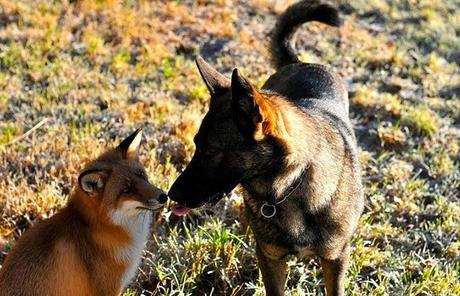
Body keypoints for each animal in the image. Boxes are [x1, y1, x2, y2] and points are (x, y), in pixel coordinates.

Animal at [169, 1, 362, 294]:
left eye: (210, 150)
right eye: (196, 145)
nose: (170, 194)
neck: (290, 185)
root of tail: (299, 63)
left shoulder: (336, 258)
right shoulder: (269, 257)